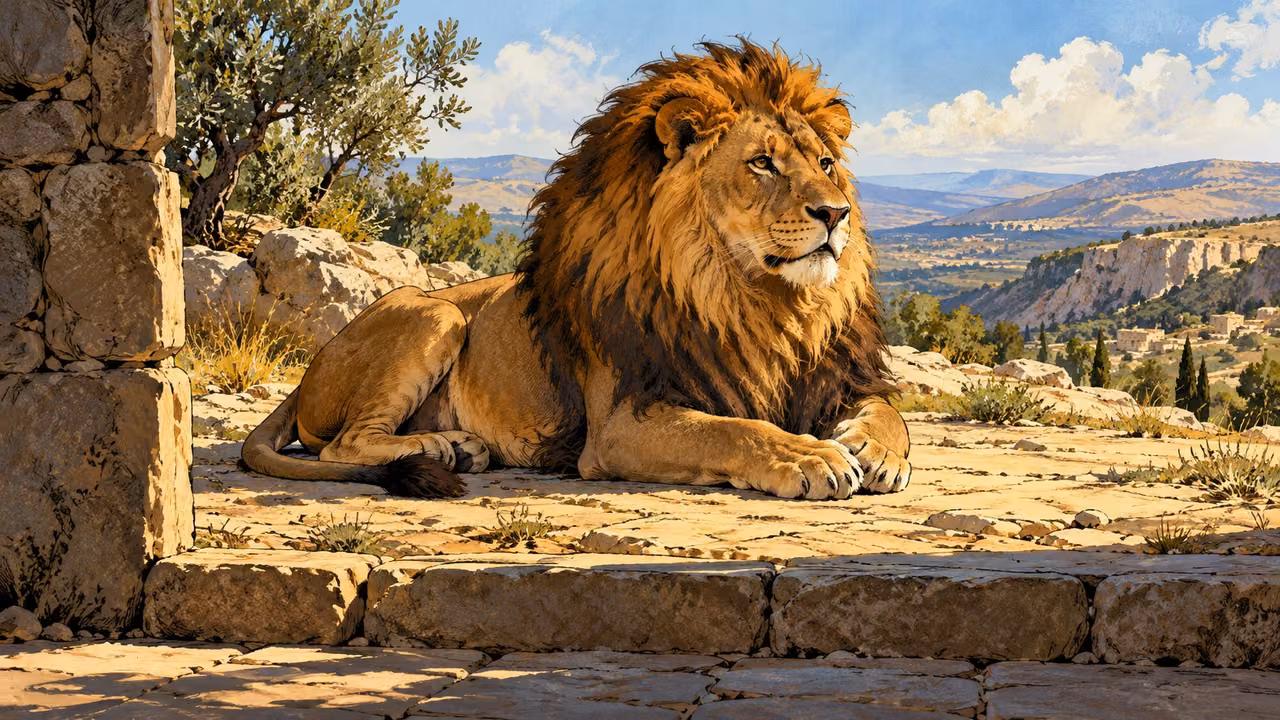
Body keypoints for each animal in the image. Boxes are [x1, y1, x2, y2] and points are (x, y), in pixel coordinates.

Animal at [242, 39, 911, 500]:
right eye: (763, 164)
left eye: (826, 163)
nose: (836, 212)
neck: (756, 300)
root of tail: (311, 368)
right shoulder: (619, 423)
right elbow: (732, 431)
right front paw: (811, 458)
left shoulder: (824, 377)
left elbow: (890, 412)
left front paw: (875, 451)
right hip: (435, 313)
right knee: (341, 446)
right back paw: (443, 446)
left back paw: (460, 445)